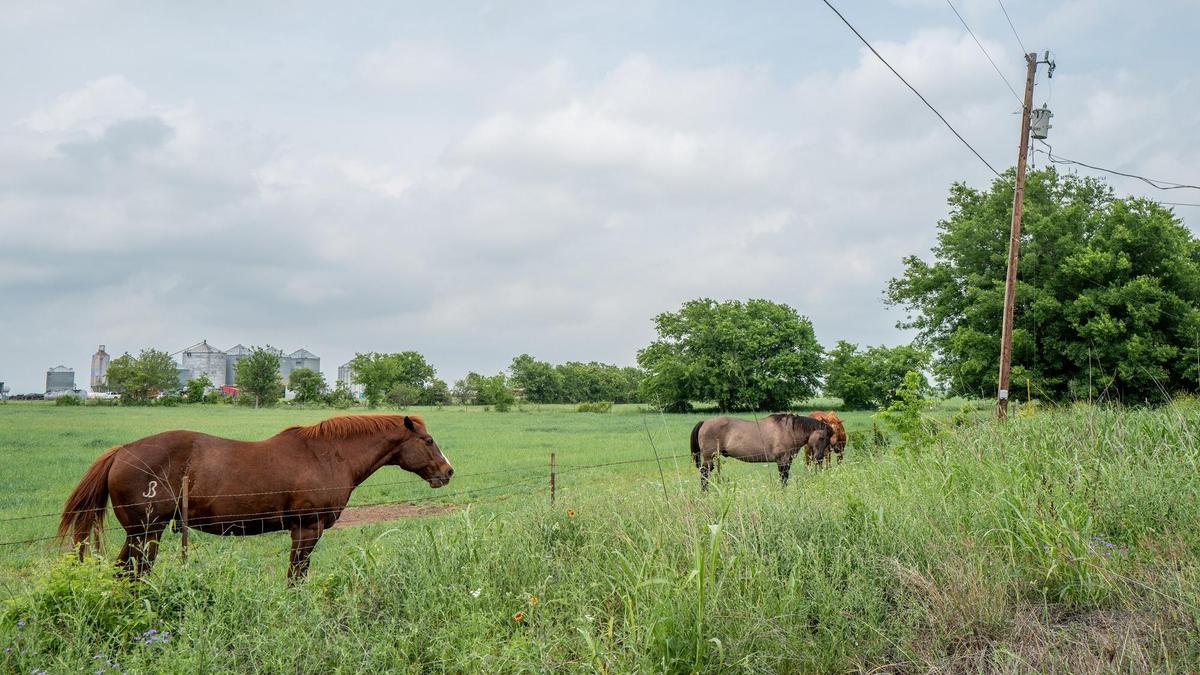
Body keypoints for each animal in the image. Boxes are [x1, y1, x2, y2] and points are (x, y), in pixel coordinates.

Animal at [56, 413, 451, 581]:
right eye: (429, 441)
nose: (447, 472)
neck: (327, 455)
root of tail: (121, 452)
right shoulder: (307, 529)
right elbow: (296, 575)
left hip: (142, 534)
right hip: (145, 533)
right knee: (133, 573)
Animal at [691, 410, 830, 487]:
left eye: (829, 440)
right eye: (822, 437)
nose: (819, 457)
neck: (788, 430)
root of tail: (704, 422)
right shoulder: (783, 461)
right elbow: (783, 478)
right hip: (709, 458)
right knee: (704, 473)